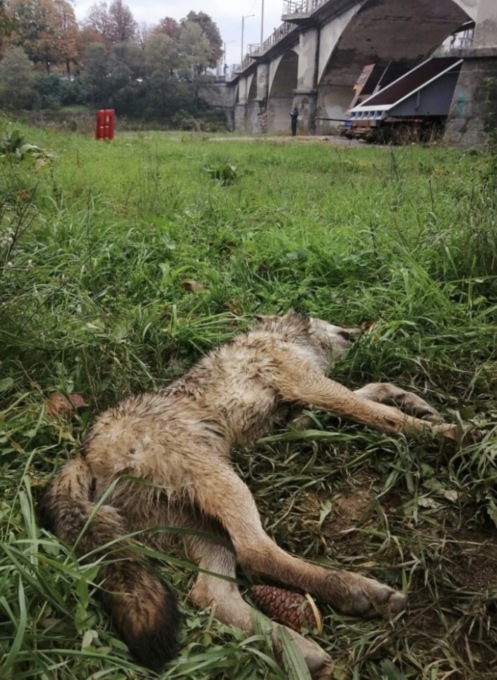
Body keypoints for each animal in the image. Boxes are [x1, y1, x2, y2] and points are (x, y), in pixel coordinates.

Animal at [40, 311, 459, 678]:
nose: (359, 329)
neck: (279, 335)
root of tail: (82, 452)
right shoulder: (305, 384)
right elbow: (377, 412)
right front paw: (446, 433)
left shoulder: (295, 417)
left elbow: (372, 393)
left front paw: (416, 404)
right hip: (227, 485)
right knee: (256, 552)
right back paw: (359, 593)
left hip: (203, 523)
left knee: (211, 594)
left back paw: (300, 651)